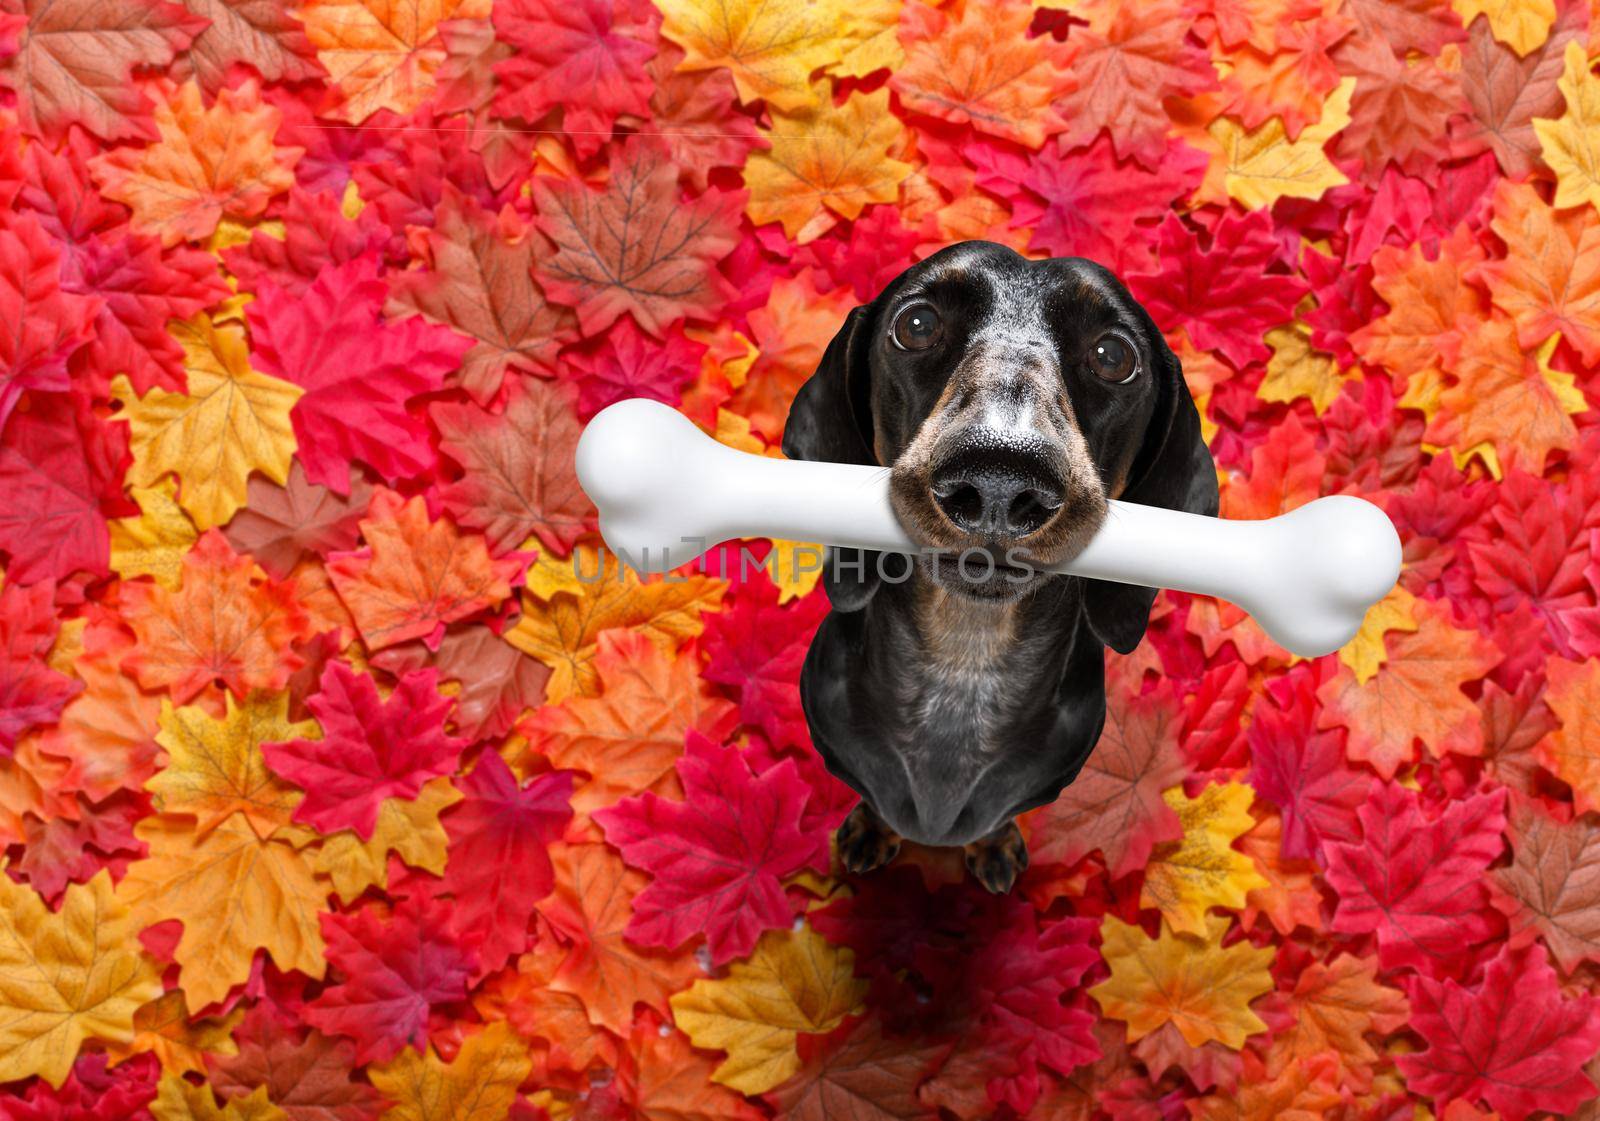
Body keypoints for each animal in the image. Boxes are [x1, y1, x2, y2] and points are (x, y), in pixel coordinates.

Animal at [780, 243, 1216, 889]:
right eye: (916, 324)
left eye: (1113, 356)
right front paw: (871, 830)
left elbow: (994, 820)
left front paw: (993, 845)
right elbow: (877, 804)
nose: (999, 478)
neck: (964, 665)